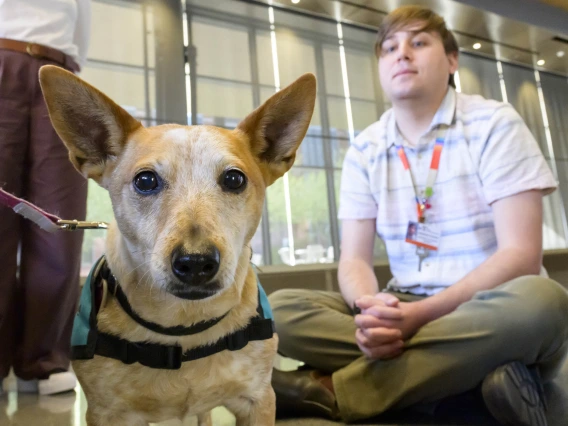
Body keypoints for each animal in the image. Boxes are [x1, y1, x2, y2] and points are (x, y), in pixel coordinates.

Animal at [38, 64, 318, 426]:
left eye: (234, 179)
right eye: (145, 180)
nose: (195, 262)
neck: (183, 330)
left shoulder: (258, 400)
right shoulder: (107, 413)